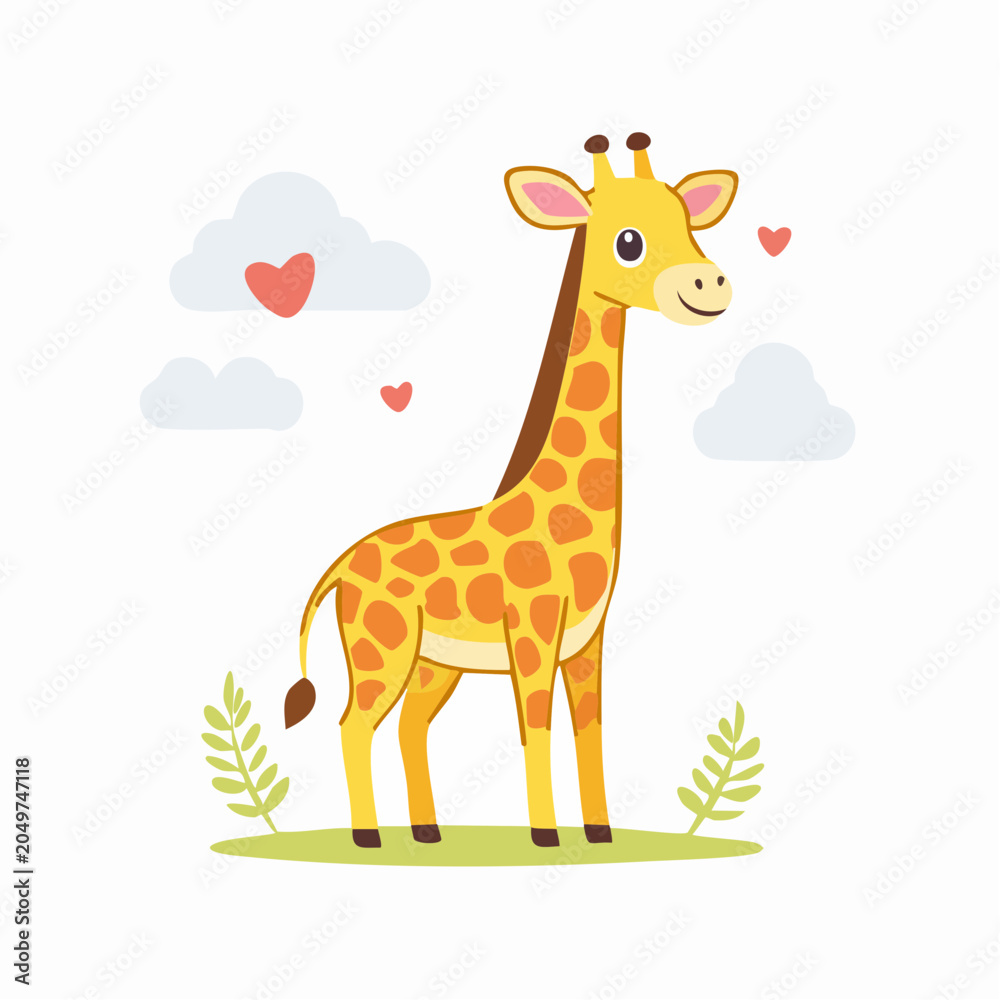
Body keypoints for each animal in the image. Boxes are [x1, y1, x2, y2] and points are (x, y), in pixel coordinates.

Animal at [284, 133, 738, 848]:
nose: (709, 283)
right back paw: (369, 837)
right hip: (381, 647)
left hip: (435, 662)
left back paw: (427, 833)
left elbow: (590, 731)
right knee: (354, 723)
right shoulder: (532, 630)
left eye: (690, 224)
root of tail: (339, 568)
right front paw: (547, 837)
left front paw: (599, 834)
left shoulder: (588, 640)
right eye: (629, 240)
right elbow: (536, 729)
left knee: (410, 726)